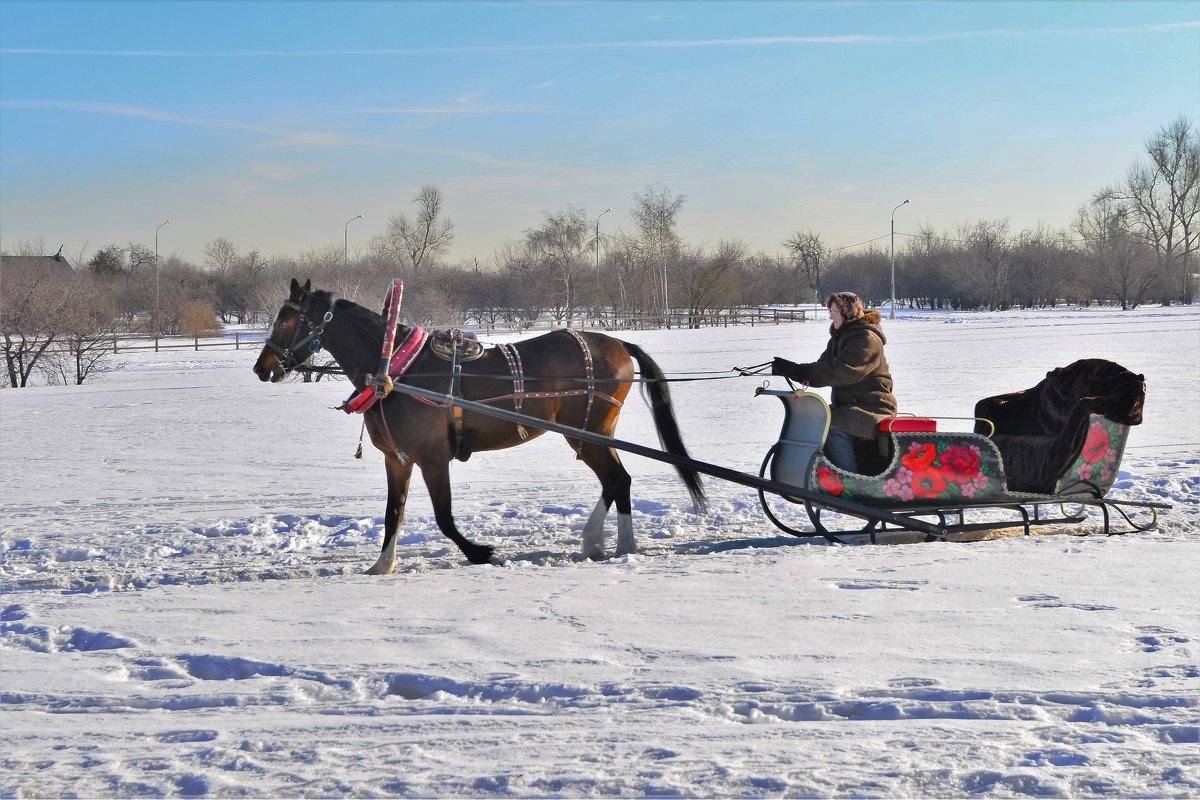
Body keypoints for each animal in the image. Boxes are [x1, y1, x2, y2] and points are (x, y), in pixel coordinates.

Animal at [250, 278, 700, 573]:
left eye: (285, 320)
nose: (261, 367)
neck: (395, 371)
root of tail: (619, 342)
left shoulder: (433, 459)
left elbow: (444, 517)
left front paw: (479, 553)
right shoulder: (399, 459)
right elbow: (393, 512)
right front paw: (383, 564)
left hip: (588, 433)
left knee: (618, 479)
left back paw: (622, 544)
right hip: (589, 435)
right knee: (614, 480)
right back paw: (600, 540)